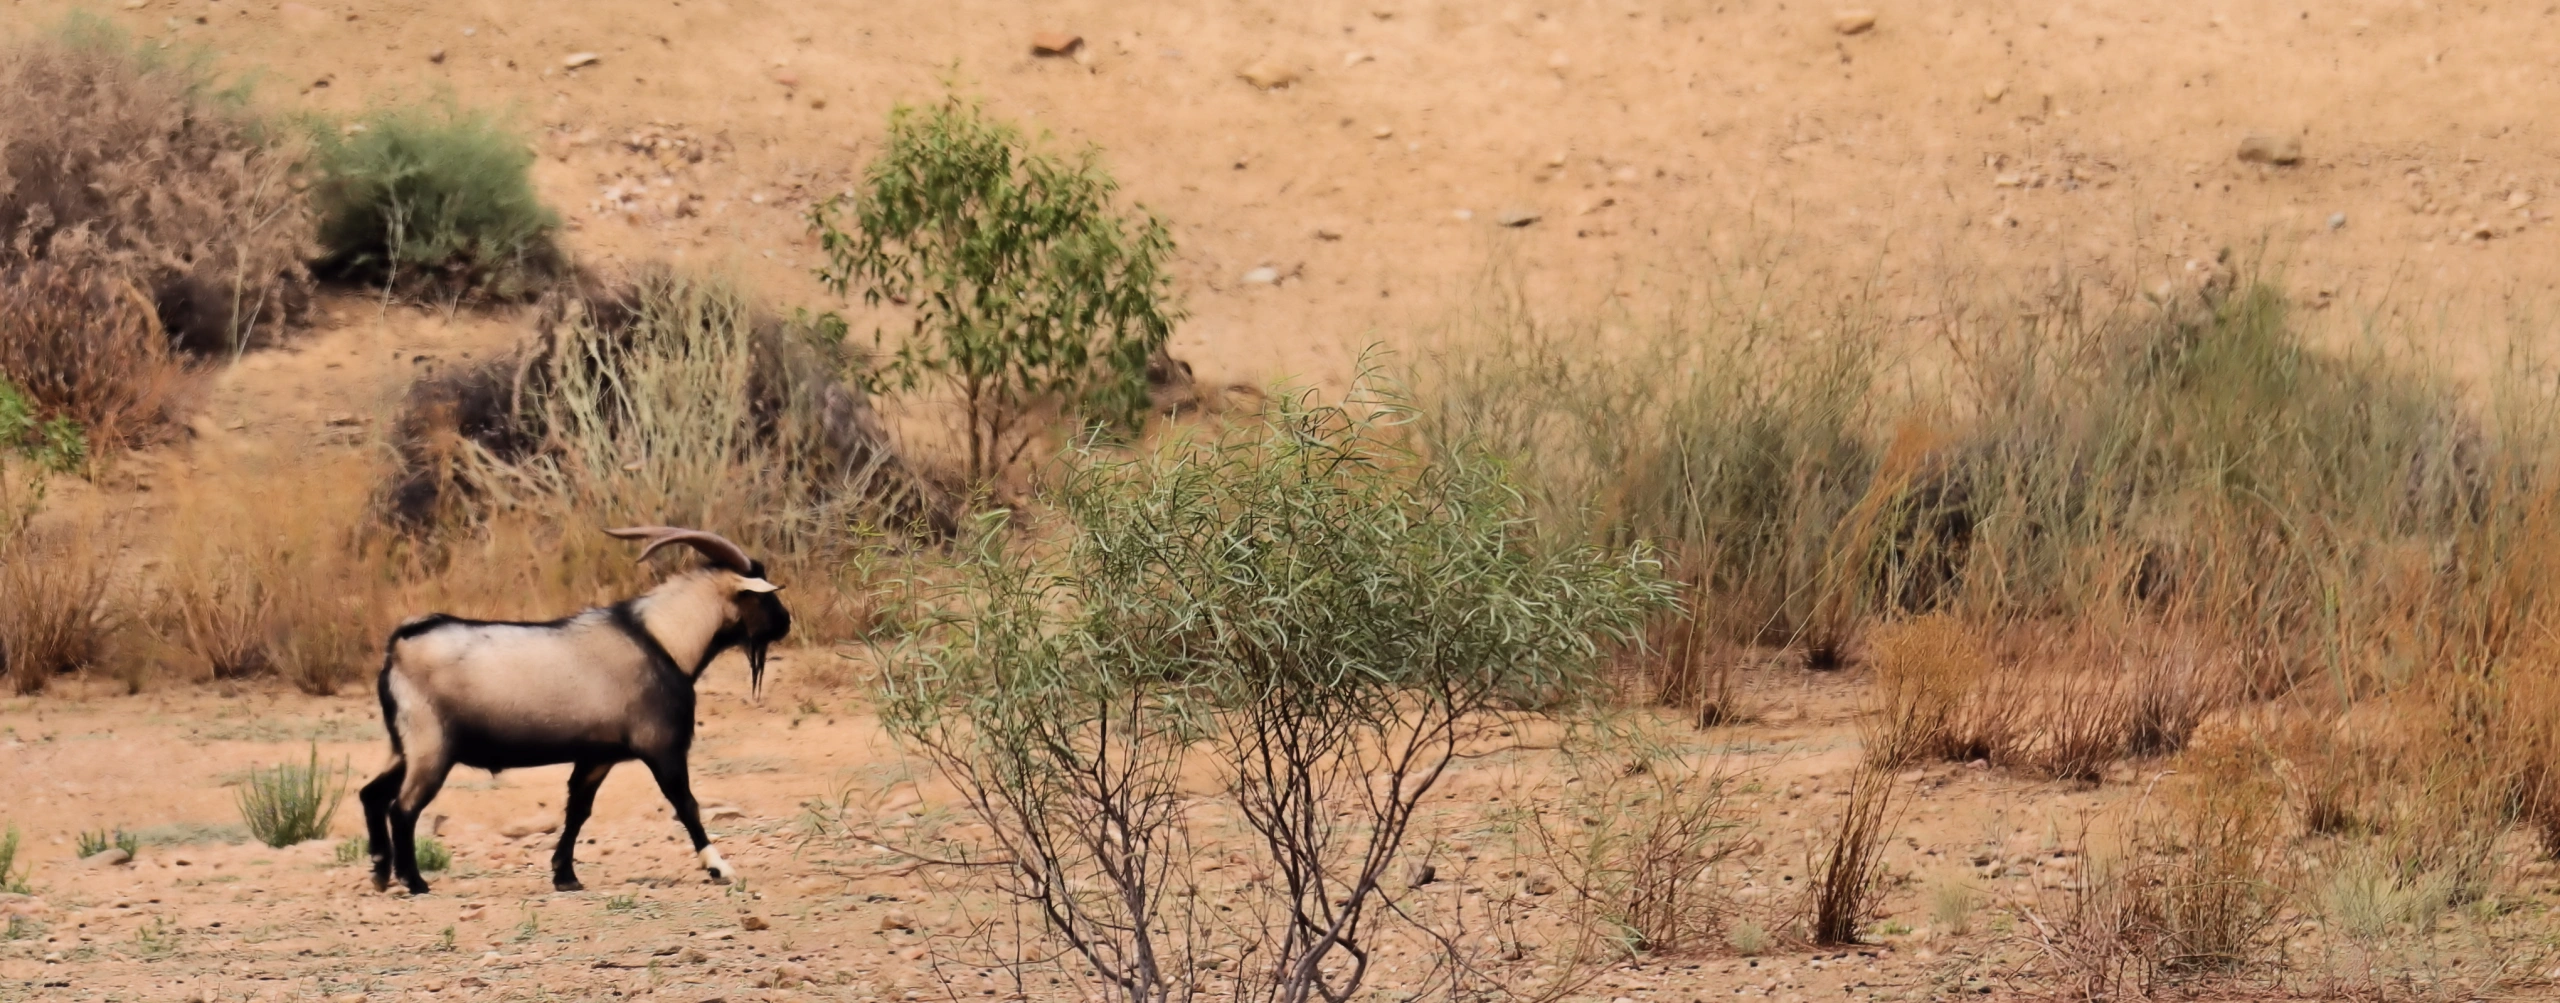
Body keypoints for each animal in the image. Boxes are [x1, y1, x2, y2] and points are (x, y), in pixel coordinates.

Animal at [359, 526, 792, 895]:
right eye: (764, 594)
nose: (786, 622)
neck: (661, 638)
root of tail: (399, 645)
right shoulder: (661, 747)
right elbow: (686, 804)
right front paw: (720, 867)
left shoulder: (597, 756)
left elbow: (578, 810)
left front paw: (565, 876)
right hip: (431, 750)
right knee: (404, 807)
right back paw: (415, 882)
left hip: (405, 749)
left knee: (372, 794)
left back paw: (381, 871)